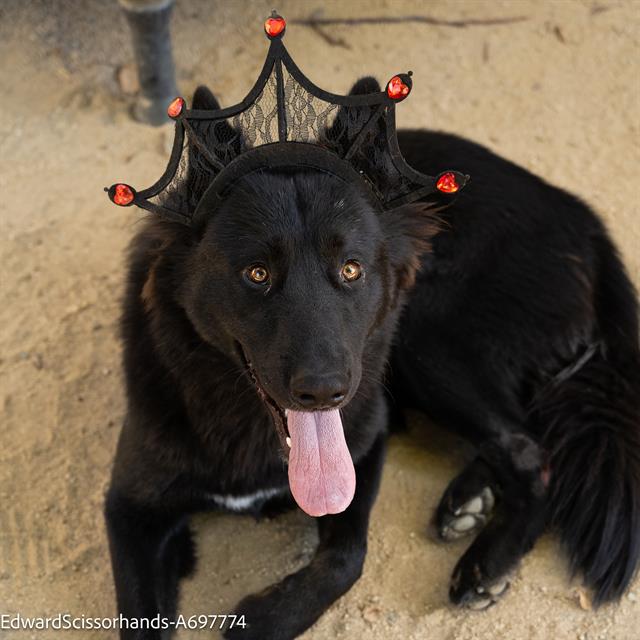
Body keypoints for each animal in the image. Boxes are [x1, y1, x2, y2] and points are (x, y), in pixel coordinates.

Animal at [106, 85, 640, 640]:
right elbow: (139, 616)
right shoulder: (130, 510)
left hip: (426, 334)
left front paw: (266, 619)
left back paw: (488, 562)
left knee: (529, 451)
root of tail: (583, 218)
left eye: (351, 269)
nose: (324, 392)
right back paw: (470, 498)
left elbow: (346, 558)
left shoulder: (364, 447)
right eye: (257, 273)